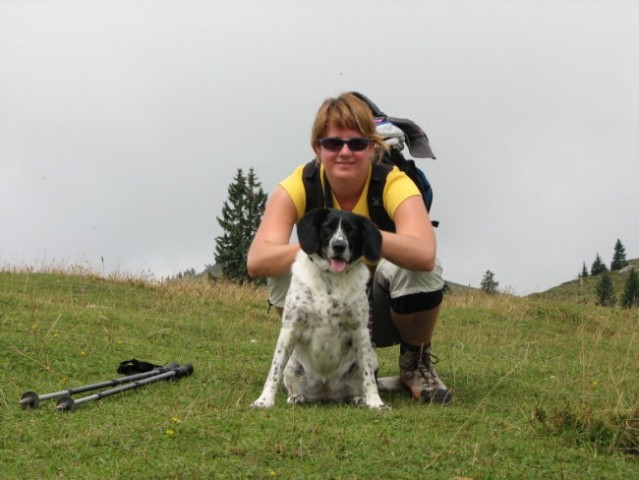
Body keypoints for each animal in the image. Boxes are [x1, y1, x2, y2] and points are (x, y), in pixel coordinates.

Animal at [252, 208, 388, 410]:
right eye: (327, 228)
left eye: (352, 231)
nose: (339, 246)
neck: (331, 278)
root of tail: (326, 393)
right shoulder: (290, 329)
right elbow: (274, 371)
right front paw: (264, 400)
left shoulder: (360, 331)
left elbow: (369, 377)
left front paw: (376, 403)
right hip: (292, 366)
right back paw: (296, 397)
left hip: (370, 356)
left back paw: (359, 398)